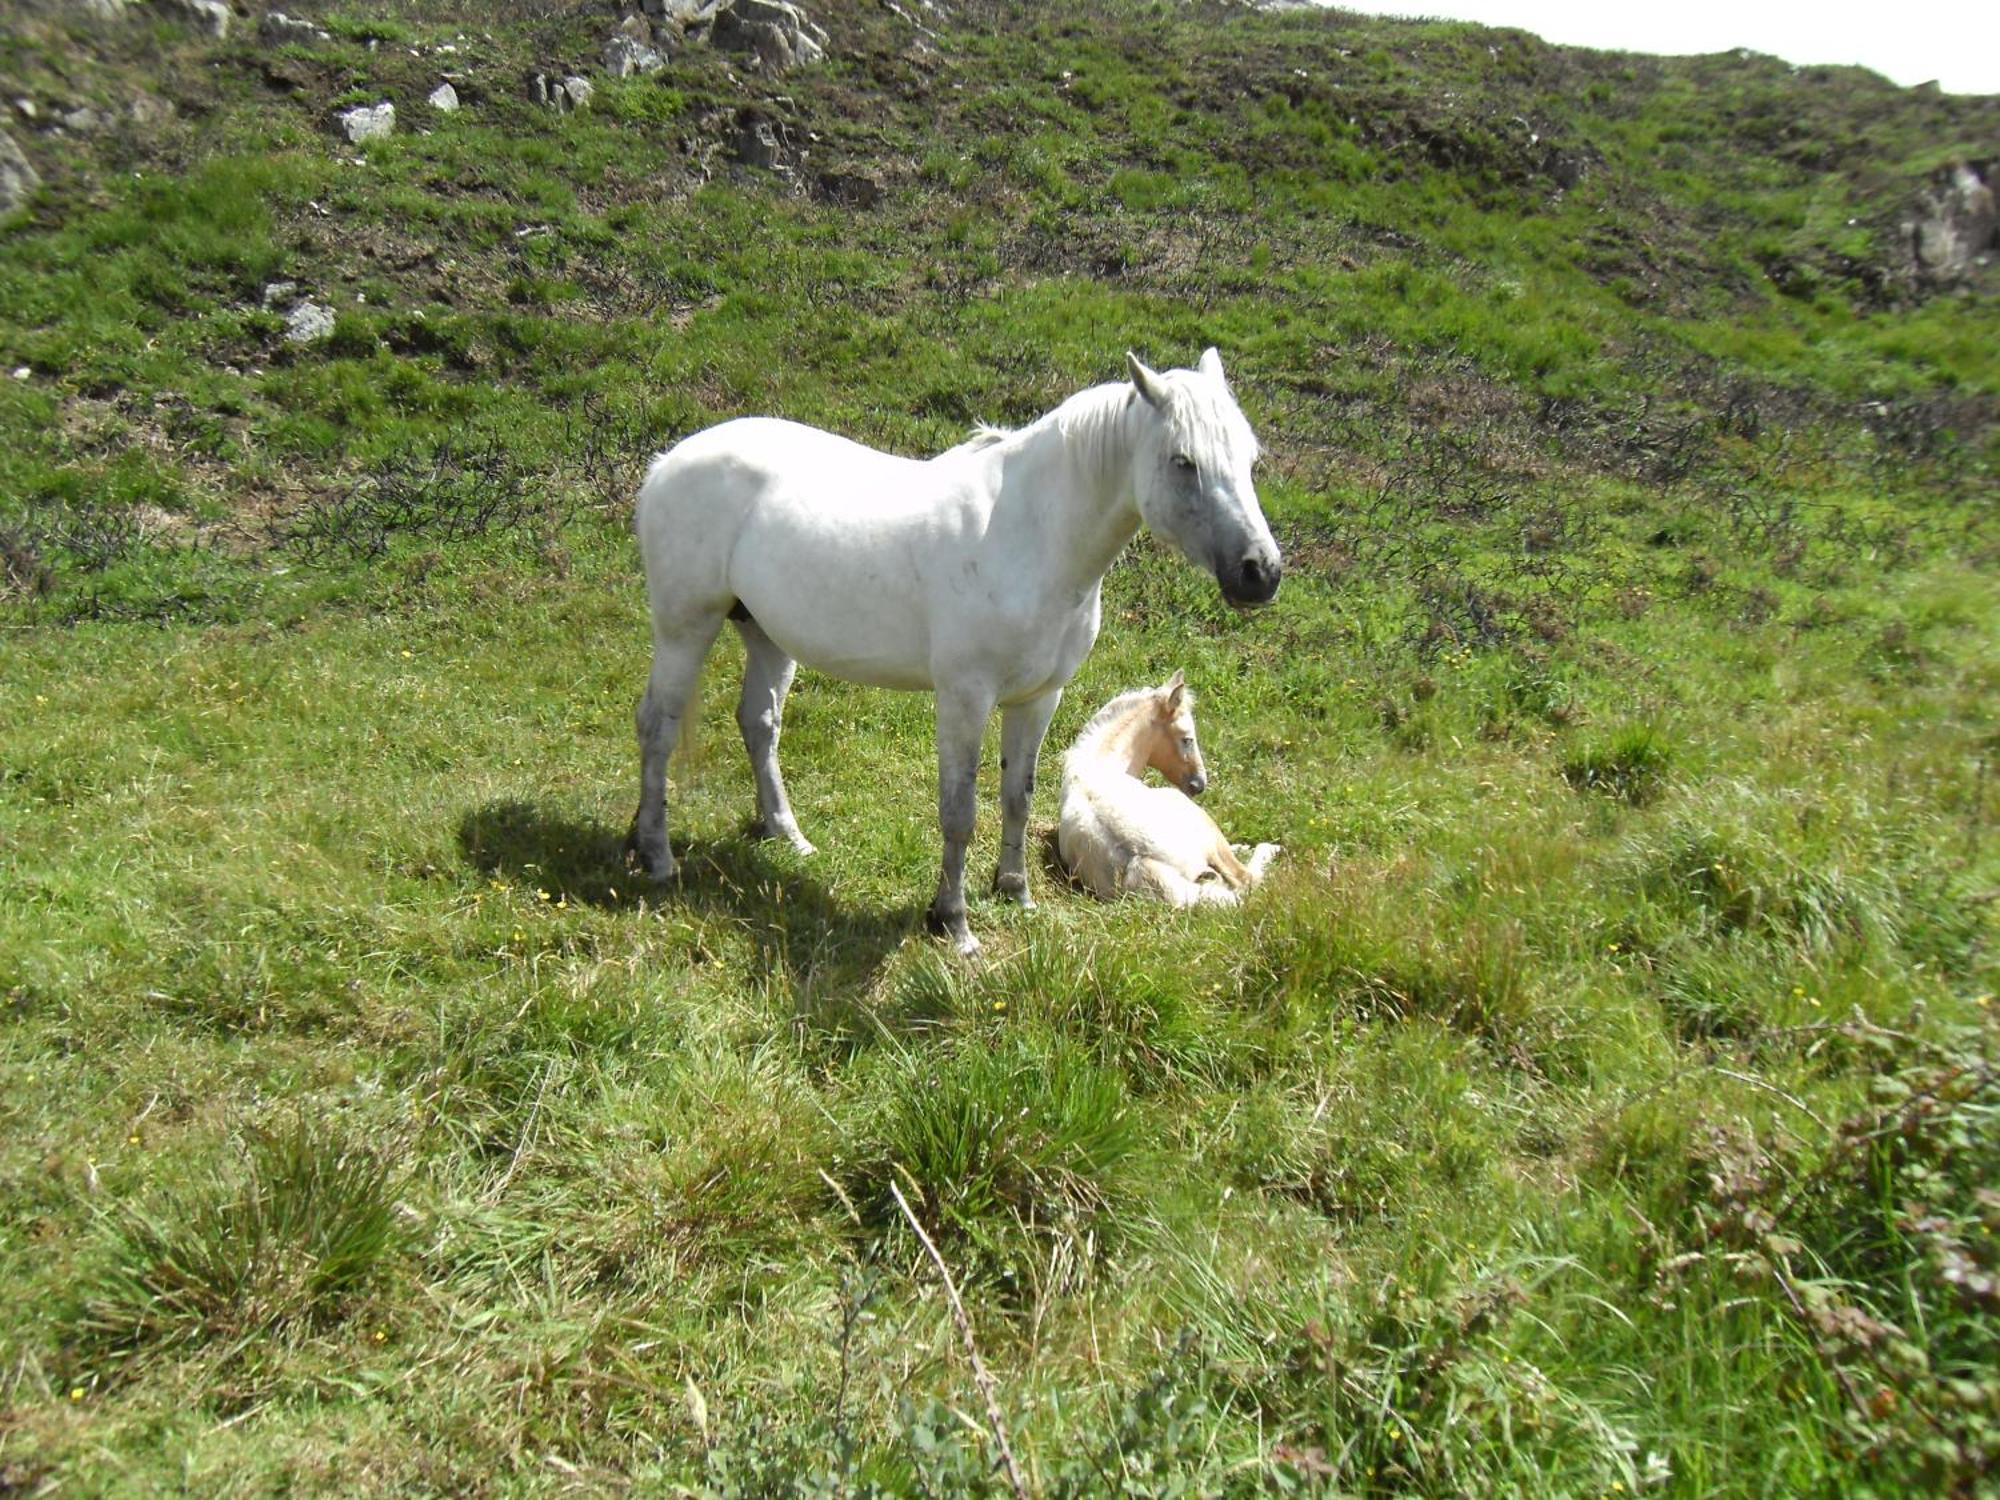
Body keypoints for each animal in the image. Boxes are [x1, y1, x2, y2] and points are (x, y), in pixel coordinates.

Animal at [1048, 676, 1280, 912]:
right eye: (1187, 739)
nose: (1199, 784)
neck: (1097, 763)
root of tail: (1143, 862)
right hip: (1197, 818)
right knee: (1245, 879)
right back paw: (1269, 848)